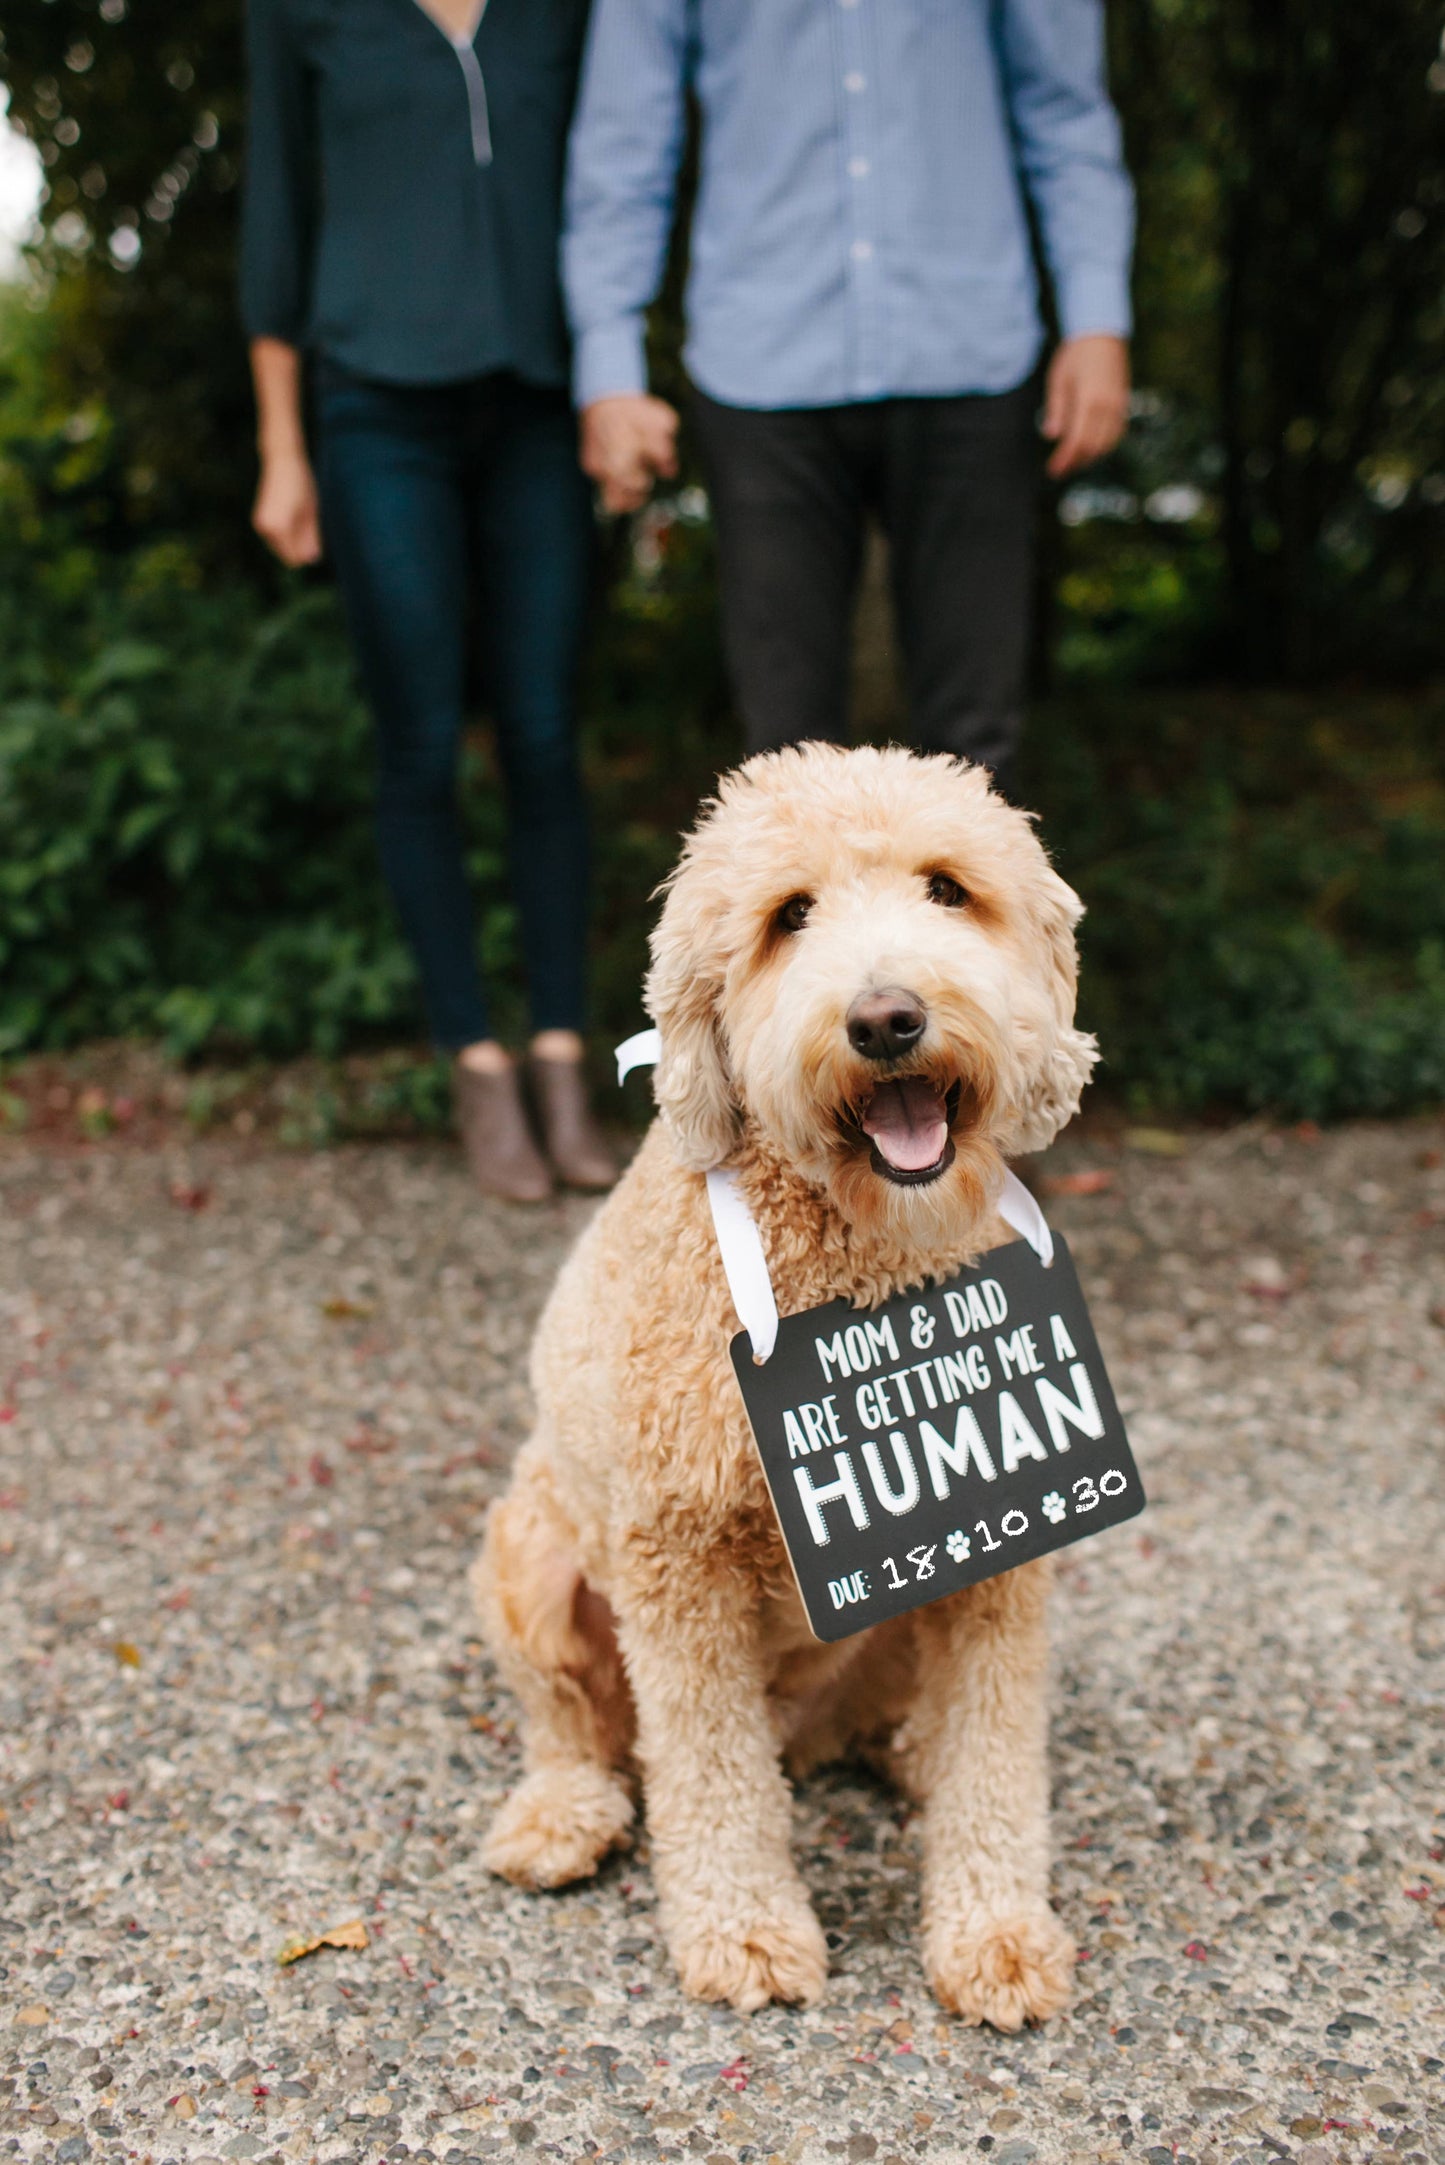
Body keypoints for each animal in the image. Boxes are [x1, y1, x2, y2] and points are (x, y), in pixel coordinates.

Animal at [474, 749, 1096, 2026]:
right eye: (787, 916)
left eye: (946, 888)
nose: (885, 1017)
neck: (858, 1263)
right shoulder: (676, 1565)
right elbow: (710, 1771)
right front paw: (744, 1931)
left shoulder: (1001, 1556)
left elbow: (994, 1754)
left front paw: (994, 1932)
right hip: (527, 1555)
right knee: (578, 1724)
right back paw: (562, 1815)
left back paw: (903, 1747)